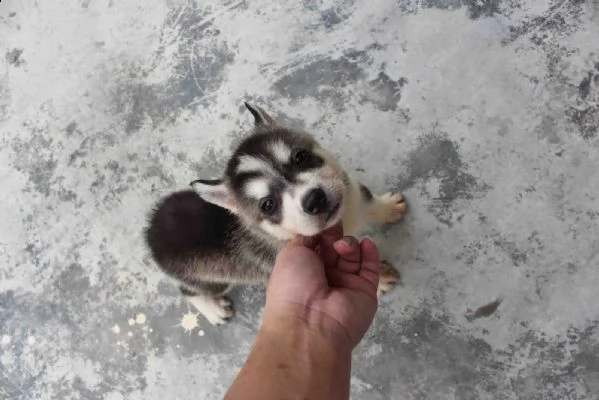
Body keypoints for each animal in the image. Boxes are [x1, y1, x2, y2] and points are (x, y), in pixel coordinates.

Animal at [146, 104, 408, 324]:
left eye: (300, 157)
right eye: (268, 205)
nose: (315, 200)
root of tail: (151, 229)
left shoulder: (351, 190)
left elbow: (370, 202)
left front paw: (388, 207)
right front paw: (380, 279)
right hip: (214, 280)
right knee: (188, 291)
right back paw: (213, 310)